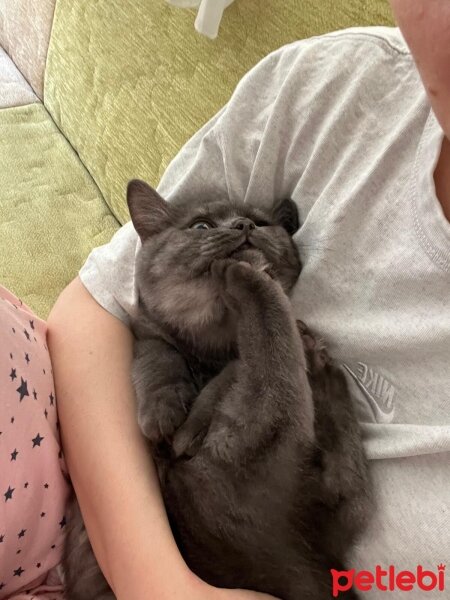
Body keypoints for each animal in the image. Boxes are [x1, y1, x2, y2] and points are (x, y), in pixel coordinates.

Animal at [63, 180, 372, 600]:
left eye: (261, 222)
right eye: (201, 227)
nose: (244, 227)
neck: (214, 345)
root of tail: (300, 561)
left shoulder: (225, 365)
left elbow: (229, 371)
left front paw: (186, 424)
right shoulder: (150, 332)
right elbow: (158, 358)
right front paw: (162, 415)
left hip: (250, 440)